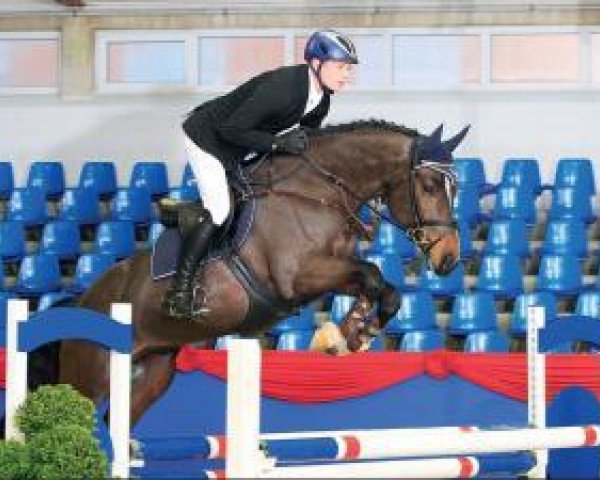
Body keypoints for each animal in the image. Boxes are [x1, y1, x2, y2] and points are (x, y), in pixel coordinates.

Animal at [58, 119, 466, 424]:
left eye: (454, 187)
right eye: (430, 185)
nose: (449, 258)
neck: (316, 192)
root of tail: (84, 297)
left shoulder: (330, 273)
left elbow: (382, 286)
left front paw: (353, 333)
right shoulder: (297, 277)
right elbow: (371, 274)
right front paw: (348, 334)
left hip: (155, 370)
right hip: (91, 376)